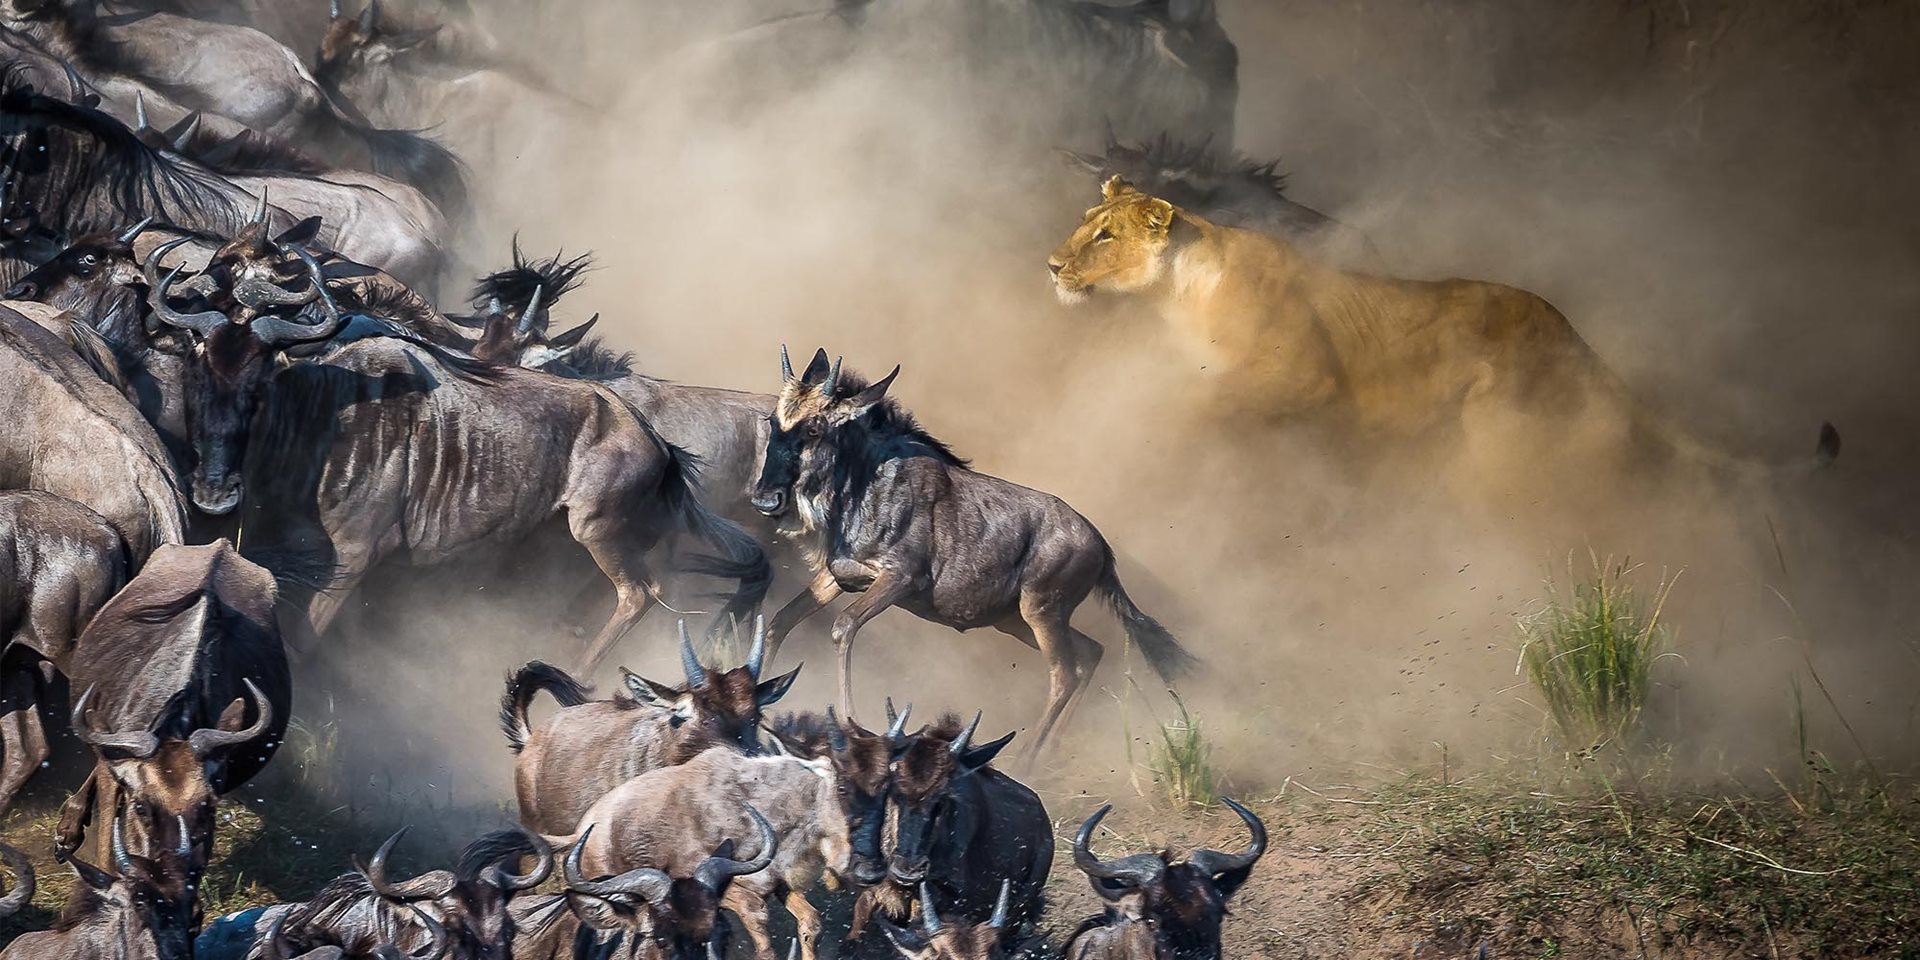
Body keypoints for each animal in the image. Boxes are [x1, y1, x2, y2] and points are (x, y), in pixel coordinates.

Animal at [1046, 175, 1836, 488]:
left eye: (1106, 235)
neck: (1175, 292)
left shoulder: (1304, 374)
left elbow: (1207, 404)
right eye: (1085, 223)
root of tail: (1569, 328)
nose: (1052, 265)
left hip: (1498, 422)